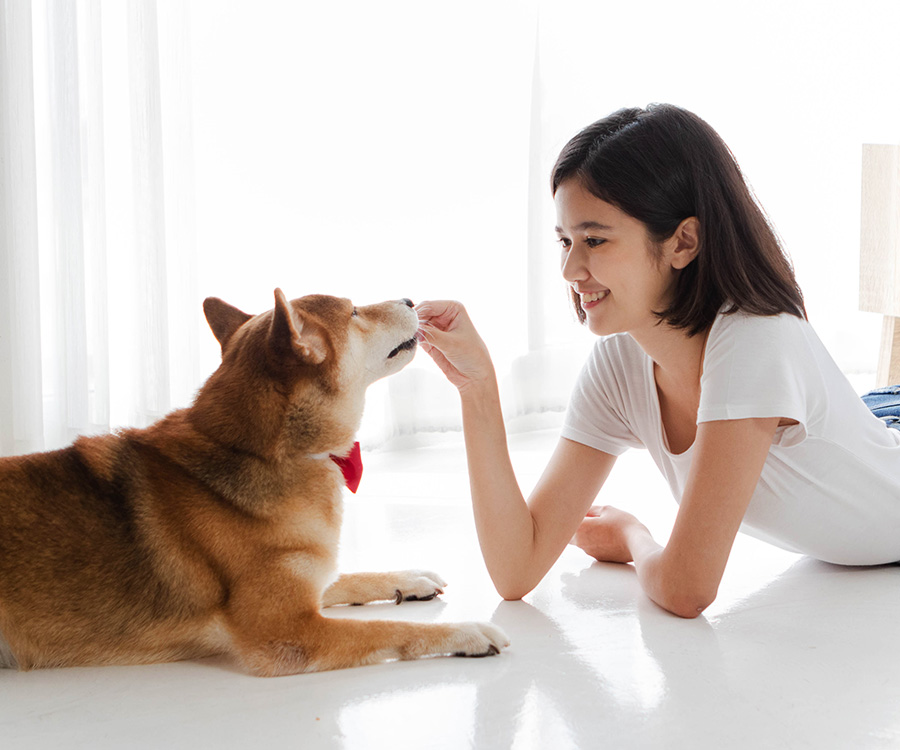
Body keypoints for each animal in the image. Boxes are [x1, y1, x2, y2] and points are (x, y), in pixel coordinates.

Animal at [0, 292, 506, 676]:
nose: (410, 300)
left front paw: (408, 580)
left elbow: (344, 575)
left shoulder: (306, 578)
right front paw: (466, 632)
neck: (262, 453)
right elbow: (390, 630)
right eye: (355, 312)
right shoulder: (288, 632)